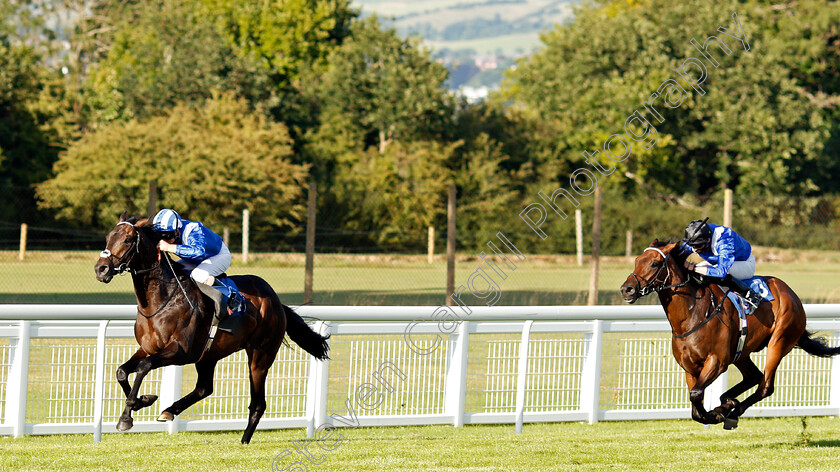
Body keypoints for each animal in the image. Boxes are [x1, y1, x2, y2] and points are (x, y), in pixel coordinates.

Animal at [92, 213, 328, 442]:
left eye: (128, 239)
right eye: (108, 238)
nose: (100, 269)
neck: (161, 301)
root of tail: (277, 301)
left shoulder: (180, 351)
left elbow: (143, 367)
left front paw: (128, 415)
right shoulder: (149, 348)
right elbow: (122, 371)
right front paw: (142, 401)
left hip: (261, 355)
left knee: (258, 403)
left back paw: (244, 441)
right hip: (209, 355)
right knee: (204, 388)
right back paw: (169, 411)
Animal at [616, 240, 840, 428]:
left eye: (654, 263)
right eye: (637, 261)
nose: (627, 289)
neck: (693, 313)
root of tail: (791, 293)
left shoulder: (717, 360)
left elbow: (696, 394)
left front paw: (716, 414)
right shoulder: (690, 367)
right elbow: (695, 403)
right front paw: (716, 411)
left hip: (779, 341)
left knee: (765, 385)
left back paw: (733, 409)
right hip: (741, 352)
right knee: (754, 376)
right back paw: (728, 402)